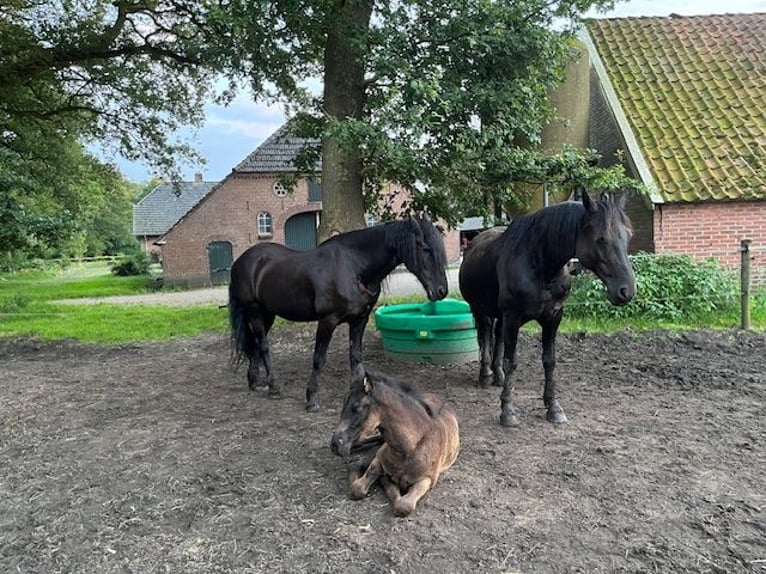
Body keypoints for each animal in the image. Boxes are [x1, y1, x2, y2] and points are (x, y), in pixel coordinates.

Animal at [228, 218, 450, 412]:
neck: (354, 267)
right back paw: (273, 387)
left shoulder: (359, 321)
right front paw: (312, 399)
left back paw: (255, 381)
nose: (441, 291)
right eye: (426, 249)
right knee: (263, 346)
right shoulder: (328, 321)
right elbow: (319, 359)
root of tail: (241, 262)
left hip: (268, 314)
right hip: (255, 311)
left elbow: (356, 358)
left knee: (256, 344)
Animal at [332, 372, 462, 520]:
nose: (335, 444)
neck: (410, 447)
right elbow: (358, 487)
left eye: (357, 407)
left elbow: (403, 505)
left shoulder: (428, 479)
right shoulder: (378, 458)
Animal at [462, 192, 636, 428]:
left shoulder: (553, 317)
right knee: (486, 337)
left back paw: (497, 376)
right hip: (480, 311)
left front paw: (553, 407)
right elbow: (511, 362)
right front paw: (508, 411)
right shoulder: (513, 316)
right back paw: (485, 375)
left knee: (496, 338)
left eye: (628, 235)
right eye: (601, 239)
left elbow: (549, 362)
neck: (539, 264)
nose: (626, 290)